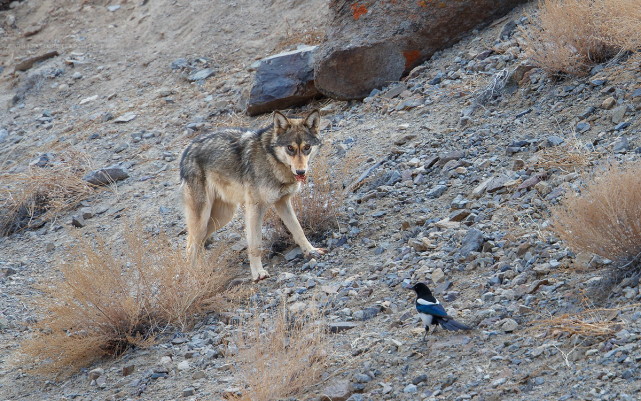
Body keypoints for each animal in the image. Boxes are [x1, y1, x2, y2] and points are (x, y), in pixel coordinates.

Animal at [180, 108, 328, 280]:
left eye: (307, 147)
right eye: (290, 148)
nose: (301, 172)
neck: (272, 160)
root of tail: (187, 150)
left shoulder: (282, 202)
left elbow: (298, 230)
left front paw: (311, 251)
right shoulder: (254, 208)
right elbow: (255, 244)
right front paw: (258, 273)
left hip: (222, 217)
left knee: (198, 243)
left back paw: (201, 271)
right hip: (203, 219)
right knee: (191, 245)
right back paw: (192, 275)